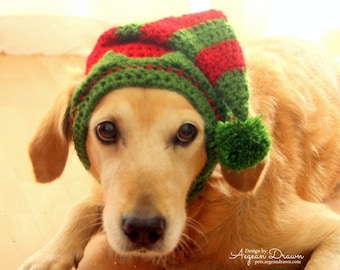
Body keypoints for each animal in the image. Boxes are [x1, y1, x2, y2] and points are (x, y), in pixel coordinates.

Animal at [19, 13, 340, 270]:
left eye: (187, 132)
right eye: (106, 129)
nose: (143, 230)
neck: (205, 204)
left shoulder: (328, 229)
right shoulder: (105, 197)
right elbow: (81, 207)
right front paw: (50, 256)